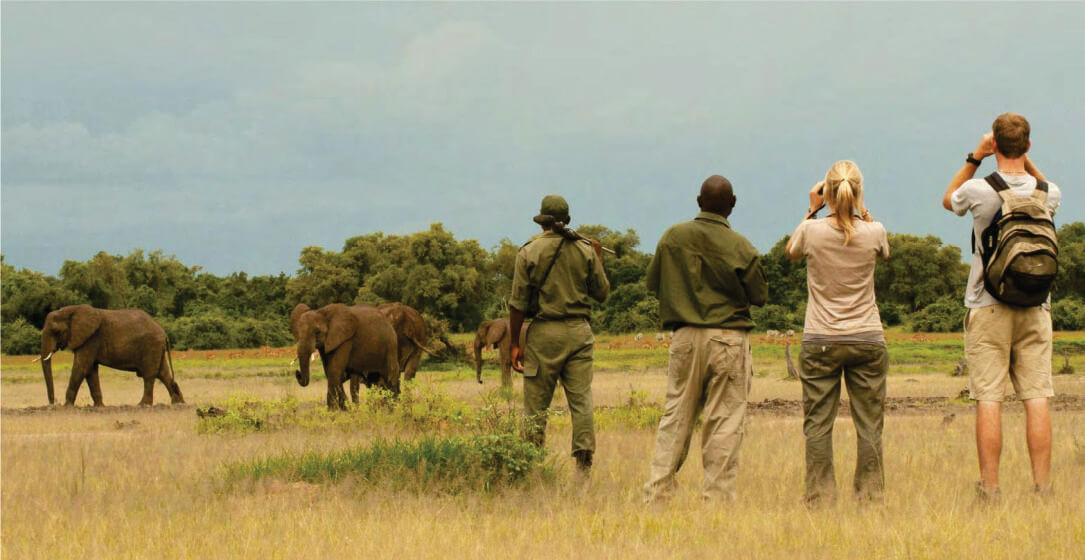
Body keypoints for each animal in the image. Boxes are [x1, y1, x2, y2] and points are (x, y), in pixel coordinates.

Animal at [38, 305, 184, 406]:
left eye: (56, 331)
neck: (71, 310)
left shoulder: (91, 339)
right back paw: (178, 404)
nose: (53, 403)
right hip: (157, 348)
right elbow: (90, 371)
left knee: (149, 375)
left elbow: (81, 367)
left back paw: (143, 405)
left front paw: (67, 406)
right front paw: (99, 406)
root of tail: (164, 333)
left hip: (151, 346)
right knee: (163, 374)